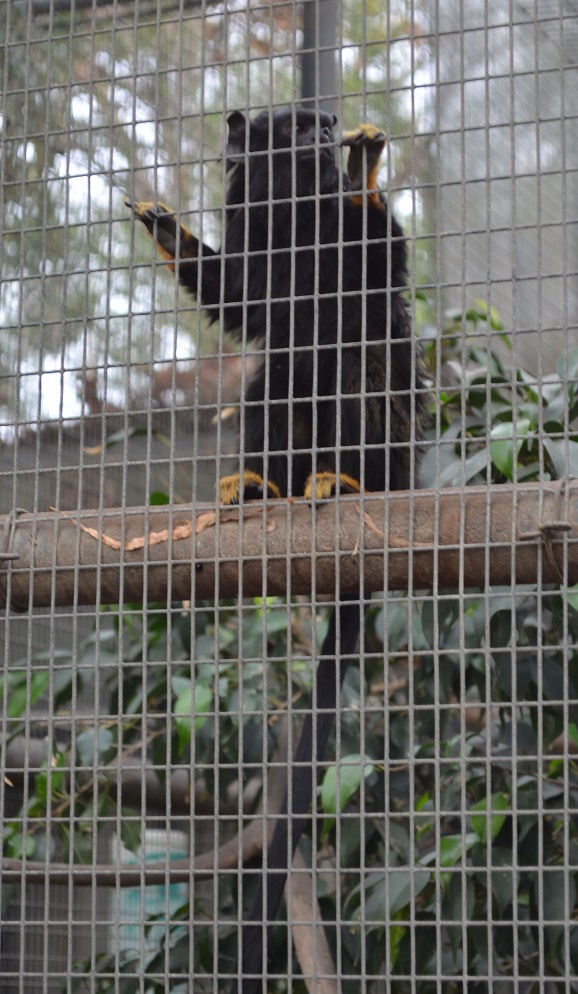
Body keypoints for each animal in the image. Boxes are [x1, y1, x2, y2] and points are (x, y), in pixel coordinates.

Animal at [127, 107, 427, 993]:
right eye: (294, 128)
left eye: (326, 124)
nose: (324, 133)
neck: (295, 217)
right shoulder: (255, 238)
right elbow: (239, 301)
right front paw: (169, 233)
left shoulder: (349, 254)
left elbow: (377, 260)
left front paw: (362, 176)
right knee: (274, 381)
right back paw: (264, 485)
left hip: (395, 437)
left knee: (357, 364)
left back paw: (348, 480)